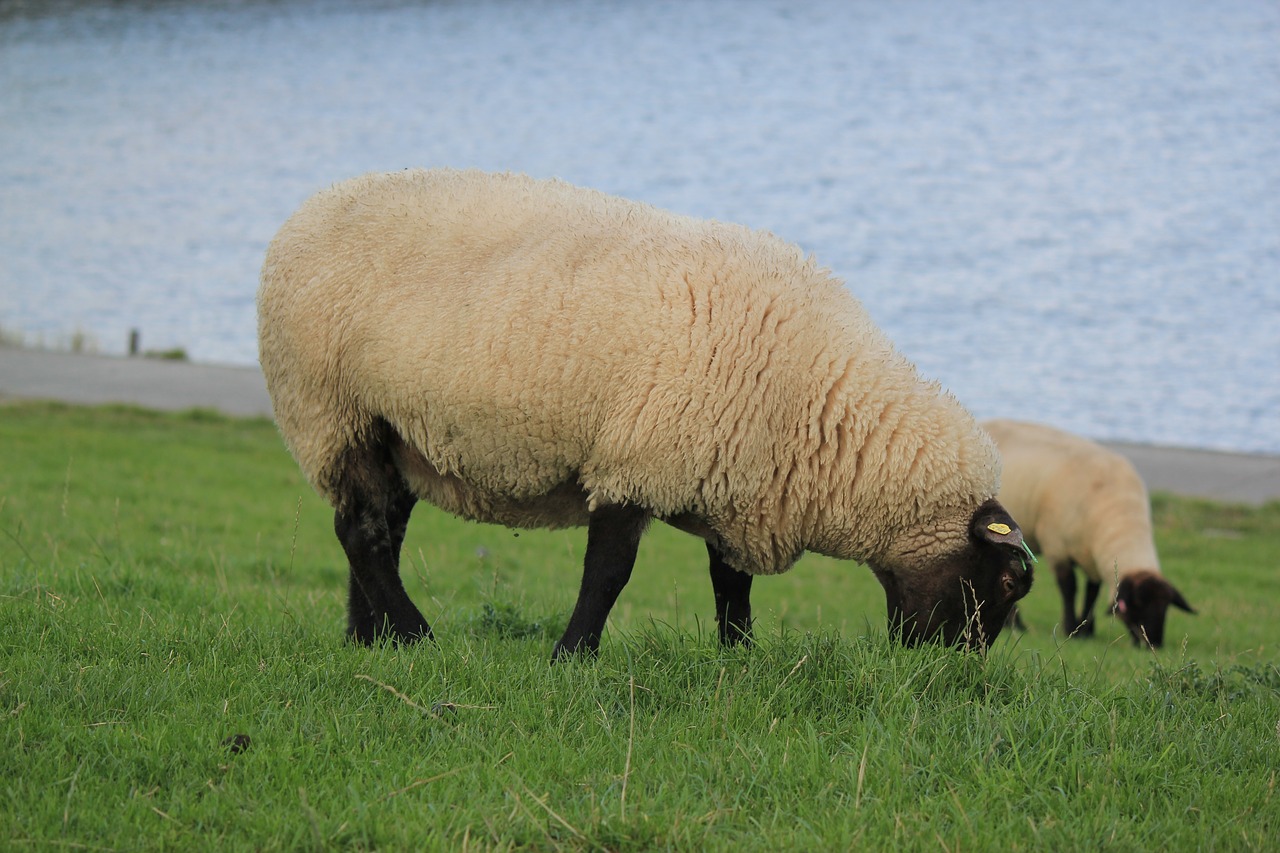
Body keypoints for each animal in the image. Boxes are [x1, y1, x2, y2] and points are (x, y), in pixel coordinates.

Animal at [254, 167, 1034, 655]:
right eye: (1005, 583)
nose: (951, 671)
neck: (816, 407)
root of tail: (302, 215)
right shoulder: (634, 460)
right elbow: (609, 575)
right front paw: (573, 655)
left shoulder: (731, 480)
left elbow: (730, 584)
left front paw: (738, 654)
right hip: (331, 411)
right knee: (362, 533)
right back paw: (413, 634)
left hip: (390, 430)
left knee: (377, 530)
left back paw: (370, 638)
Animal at [983, 417, 1192, 645]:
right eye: (1137, 604)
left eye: (1165, 607)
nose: (1153, 643)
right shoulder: (1057, 547)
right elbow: (1069, 588)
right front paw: (1070, 628)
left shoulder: (1092, 555)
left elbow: (1092, 591)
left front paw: (1086, 630)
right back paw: (1015, 624)